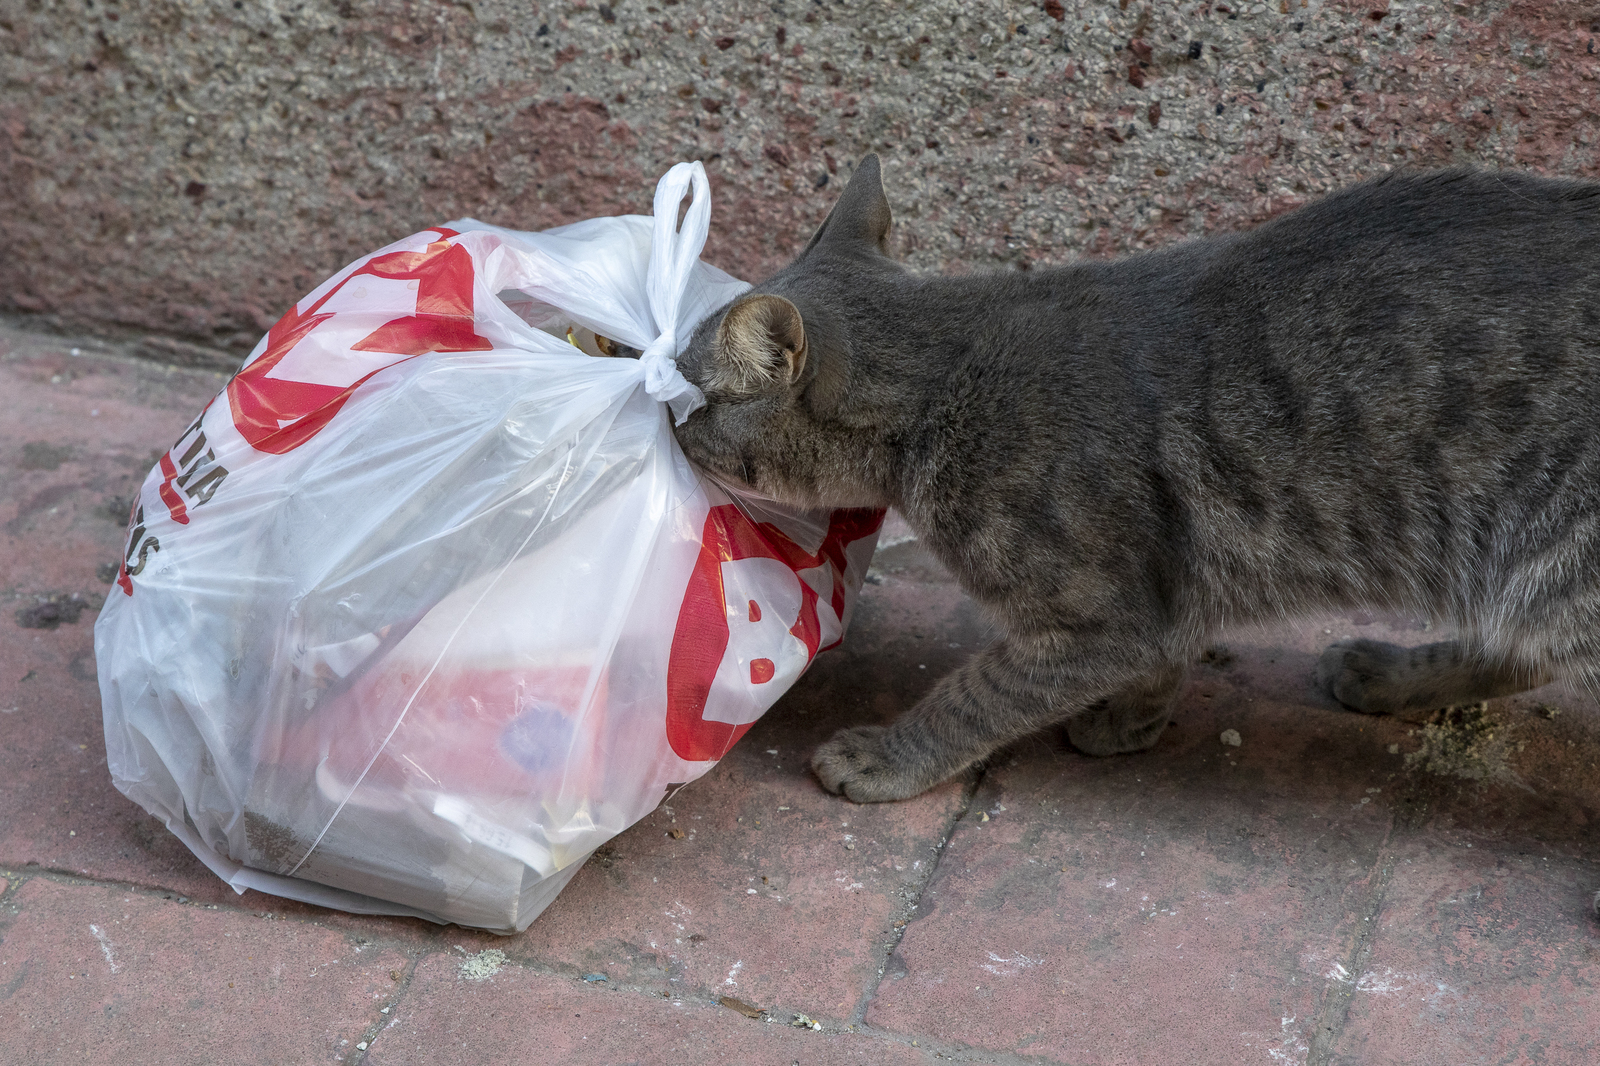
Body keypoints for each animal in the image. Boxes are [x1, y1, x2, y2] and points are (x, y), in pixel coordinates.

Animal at [668, 153, 1600, 819]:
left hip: (1564, 569)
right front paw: (1134, 720)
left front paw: (892, 758)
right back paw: (1392, 674)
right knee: (1512, 654)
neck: (946, 375)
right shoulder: (1161, 595)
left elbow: (976, 696)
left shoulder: (1098, 617)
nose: (662, 419)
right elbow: (1166, 652)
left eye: (683, 393)